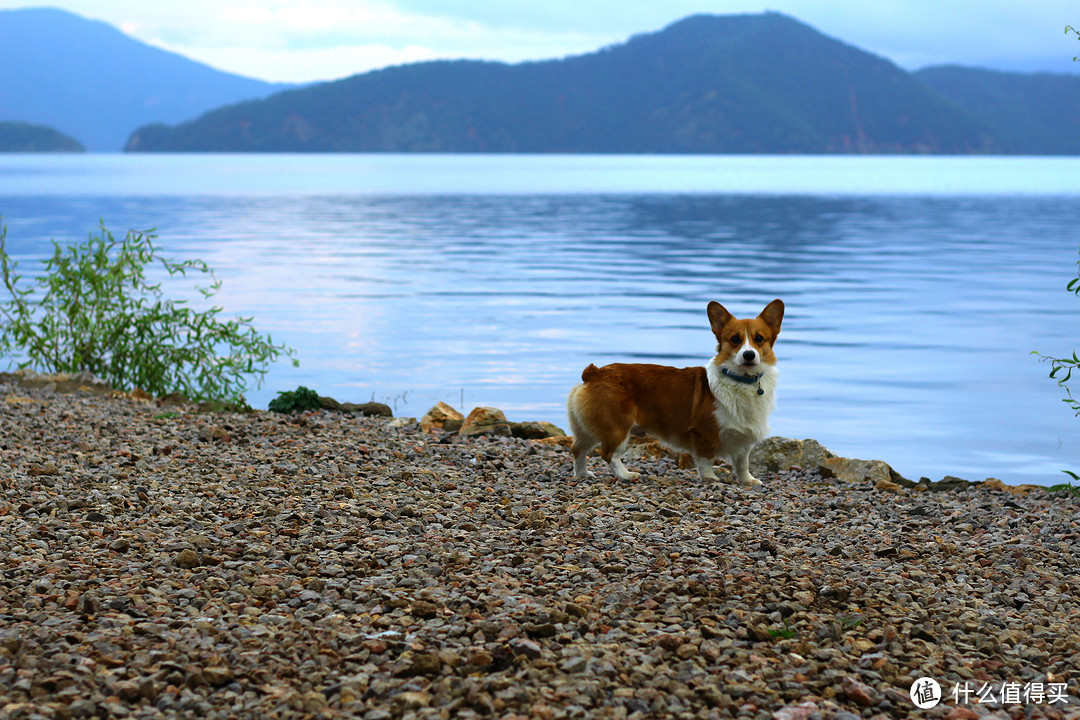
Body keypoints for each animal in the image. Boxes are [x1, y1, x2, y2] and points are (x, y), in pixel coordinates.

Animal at [565, 295, 786, 487]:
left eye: (759, 338)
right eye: (734, 339)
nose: (749, 355)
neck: (742, 380)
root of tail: (594, 372)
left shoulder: (744, 438)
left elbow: (742, 462)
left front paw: (748, 480)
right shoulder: (705, 433)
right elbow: (706, 459)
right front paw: (710, 478)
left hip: (591, 427)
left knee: (578, 448)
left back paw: (583, 474)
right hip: (617, 427)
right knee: (609, 454)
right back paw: (626, 475)